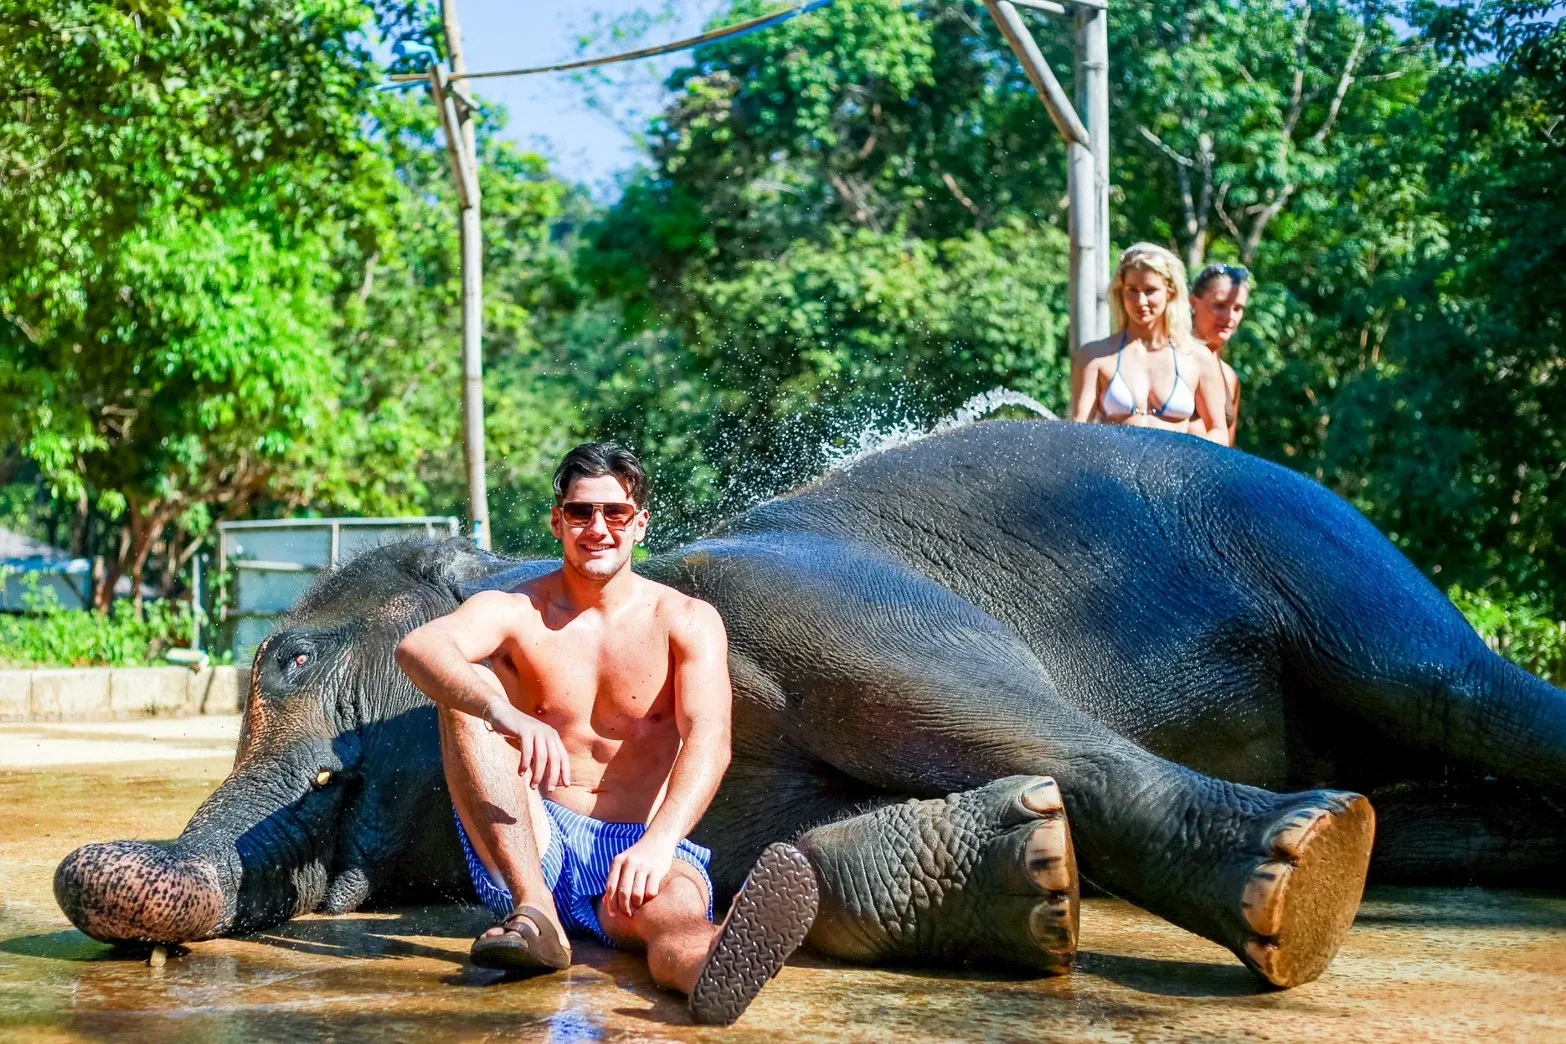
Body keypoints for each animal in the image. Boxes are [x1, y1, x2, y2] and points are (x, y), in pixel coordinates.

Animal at [55, 420, 1566, 990]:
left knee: (1456, 688)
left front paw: (1297, 882)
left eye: (287, 668)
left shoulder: (778, 589)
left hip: (1305, 542)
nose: (85, 872)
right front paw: (1028, 870)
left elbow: (960, 695)